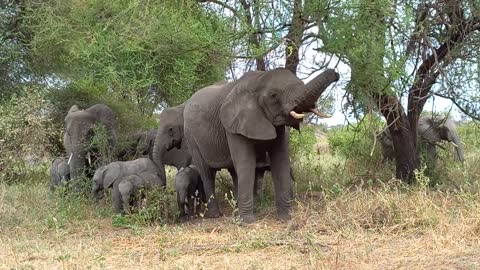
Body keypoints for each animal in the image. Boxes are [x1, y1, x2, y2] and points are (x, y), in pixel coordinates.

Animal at [185, 68, 342, 223]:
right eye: (273, 95)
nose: (336, 73)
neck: (259, 79)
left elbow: (280, 161)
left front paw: (287, 218)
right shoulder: (234, 124)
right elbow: (246, 163)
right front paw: (247, 222)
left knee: (233, 172)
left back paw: (235, 210)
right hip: (191, 137)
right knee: (207, 173)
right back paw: (215, 215)